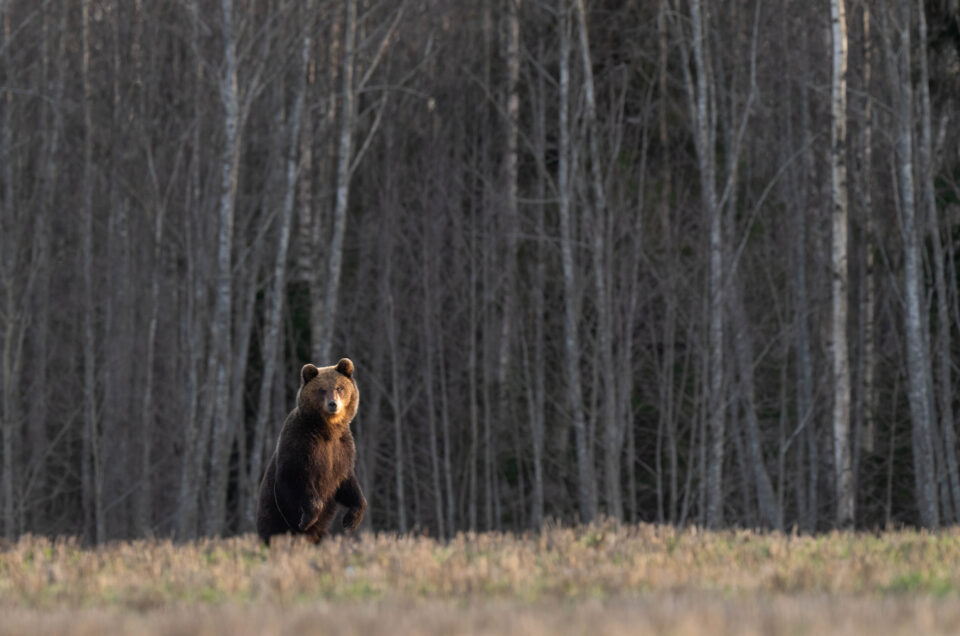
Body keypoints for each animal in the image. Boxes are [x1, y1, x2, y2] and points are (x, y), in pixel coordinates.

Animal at [256, 358, 366, 540]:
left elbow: (348, 483)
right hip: (270, 515)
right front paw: (305, 520)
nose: (333, 404)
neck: (327, 428)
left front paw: (350, 520)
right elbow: (296, 479)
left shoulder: (342, 450)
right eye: (322, 389)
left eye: (339, 387)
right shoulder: (301, 445)